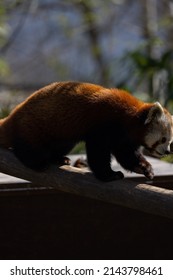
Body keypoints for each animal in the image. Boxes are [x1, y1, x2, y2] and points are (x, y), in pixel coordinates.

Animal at [0, 81, 173, 182]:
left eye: (170, 141)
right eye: (163, 139)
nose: (167, 152)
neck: (128, 117)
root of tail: (13, 114)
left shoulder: (123, 139)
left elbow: (127, 155)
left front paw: (144, 168)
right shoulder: (103, 124)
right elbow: (98, 152)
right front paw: (109, 175)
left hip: (62, 137)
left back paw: (58, 159)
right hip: (31, 127)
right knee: (28, 147)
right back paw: (37, 162)